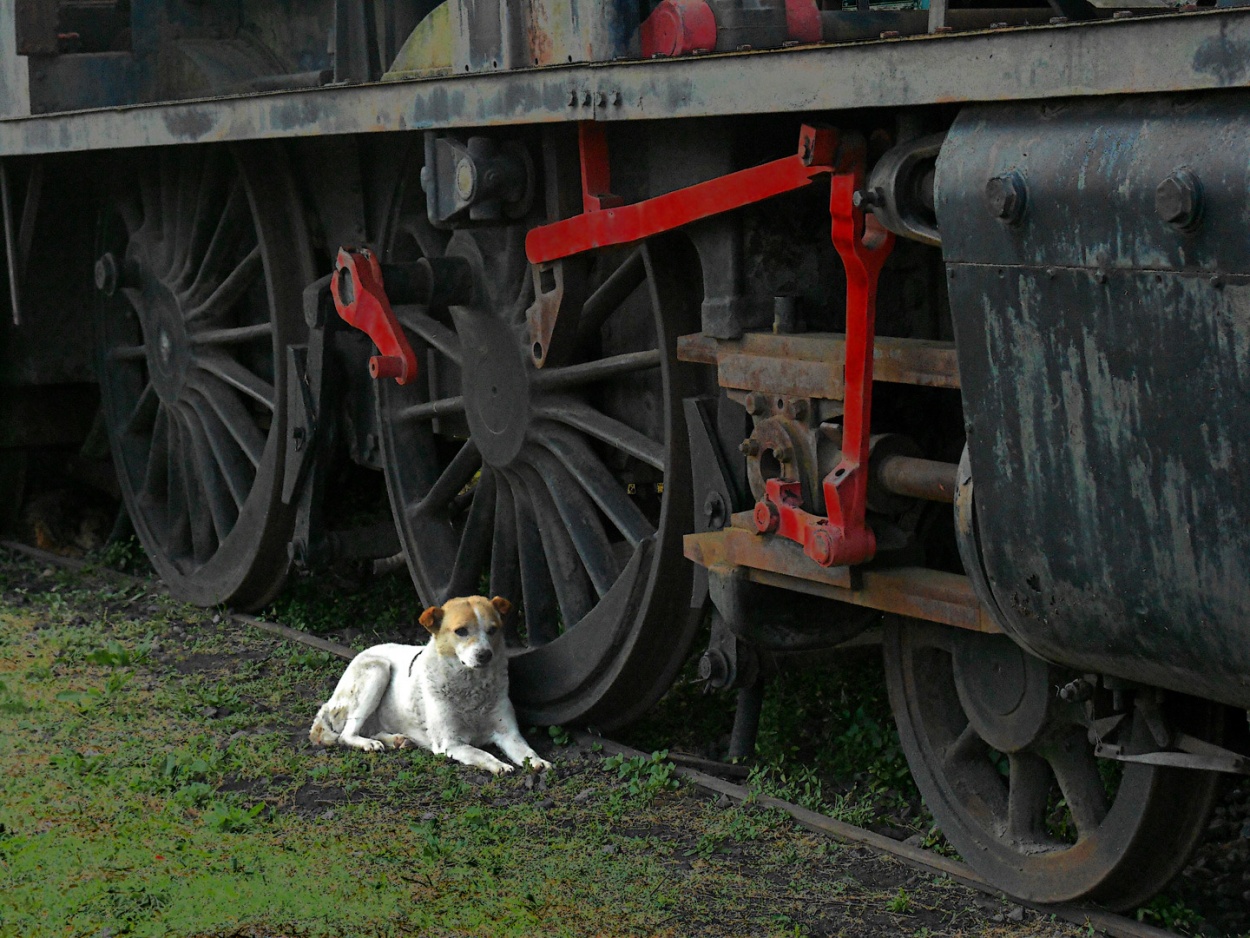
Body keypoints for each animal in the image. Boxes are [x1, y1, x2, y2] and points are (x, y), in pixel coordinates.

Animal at [306, 597, 547, 775]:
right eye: (461, 631)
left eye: (493, 630)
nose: (485, 655)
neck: (471, 687)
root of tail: (330, 702)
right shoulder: (450, 743)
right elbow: (482, 754)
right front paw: (499, 765)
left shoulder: (509, 734)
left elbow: (527, 751)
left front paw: (538, 762)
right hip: (378, 670)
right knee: (346, 734)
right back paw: (368, 743)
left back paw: (396, 740)